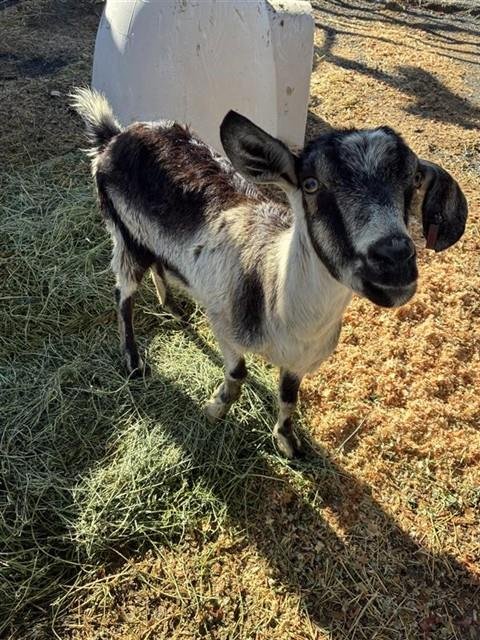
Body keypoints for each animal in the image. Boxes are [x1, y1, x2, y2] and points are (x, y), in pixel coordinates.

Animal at [72, 88, 467, 458]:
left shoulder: (299, 361)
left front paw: (287, 443)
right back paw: (134, 362)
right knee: (123, 296)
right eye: (311, 184)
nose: (394, 260)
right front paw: (214, 410)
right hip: (123, 234)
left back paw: (174, 308)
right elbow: (237, 374)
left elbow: (289, 398)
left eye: (413, 179)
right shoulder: (224, 325)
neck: (274, 291)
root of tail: (115, 136)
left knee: (159, 265)